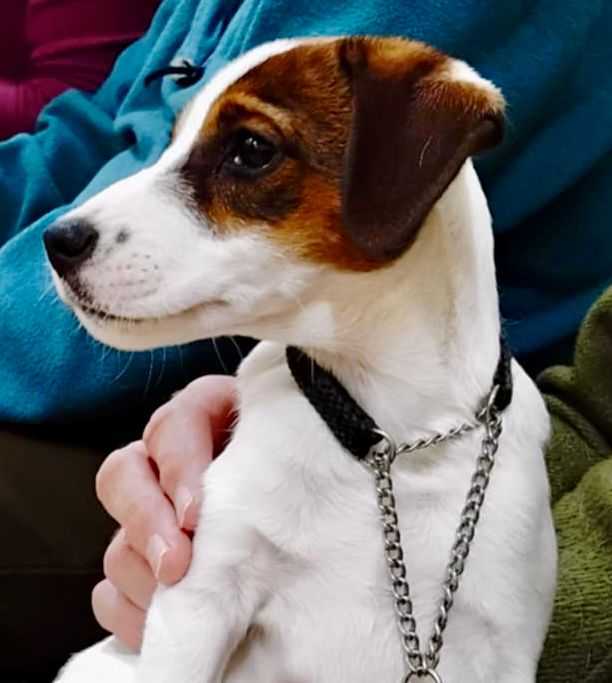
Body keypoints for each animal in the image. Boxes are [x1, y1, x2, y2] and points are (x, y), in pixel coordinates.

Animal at [46, 36, 557, 683]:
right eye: (172, 142)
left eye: (251, 149)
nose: (57, 240)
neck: (388, 440)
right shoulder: (201, 598)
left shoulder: (502, 644)